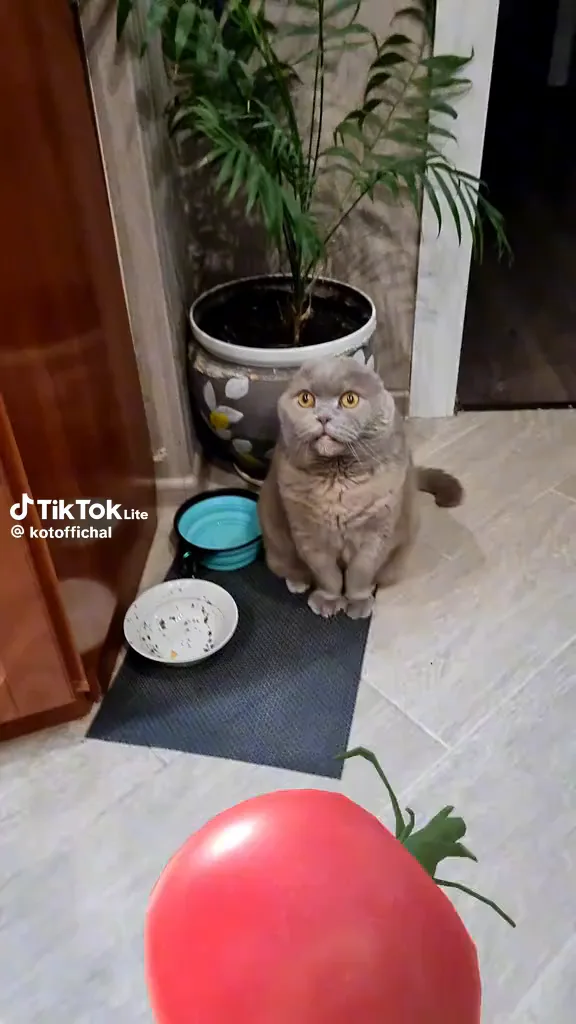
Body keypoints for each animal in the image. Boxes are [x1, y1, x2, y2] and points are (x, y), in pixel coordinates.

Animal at [258, 356, 463, 619]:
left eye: (350, 399)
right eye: (306, 399)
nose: (323, 417)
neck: (337, 480)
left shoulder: (377, 535)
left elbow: (360, 574)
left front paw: (357, 603)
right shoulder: (308, 536)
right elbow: (328, 576)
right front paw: (328, 601)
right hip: (275, 540)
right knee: (289, 567)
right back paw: (297, 582)